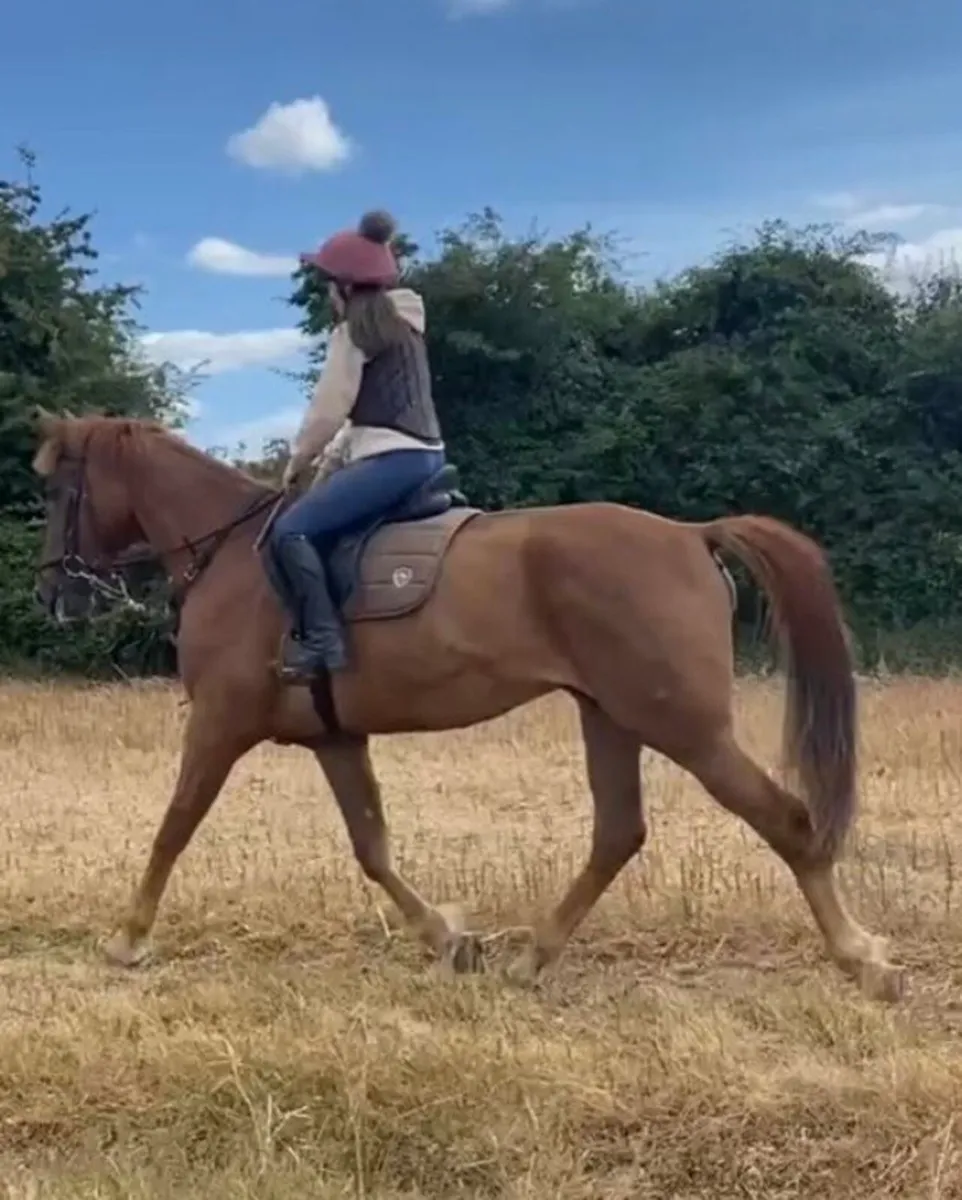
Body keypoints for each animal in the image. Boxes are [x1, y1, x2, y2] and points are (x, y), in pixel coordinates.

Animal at [31, 410, 903, 1002]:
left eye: (60, 487)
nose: (50, 593)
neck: (232, 558)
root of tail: (691, 533)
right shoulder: (335, 740)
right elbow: (373, 849)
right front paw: (450, 940)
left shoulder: (218, 723)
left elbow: (174, 825)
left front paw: (127, 937)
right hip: (609, 714)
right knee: (619, 832)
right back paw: (533, 956)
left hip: (683, 725)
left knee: (784, 819)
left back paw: (864, 959)